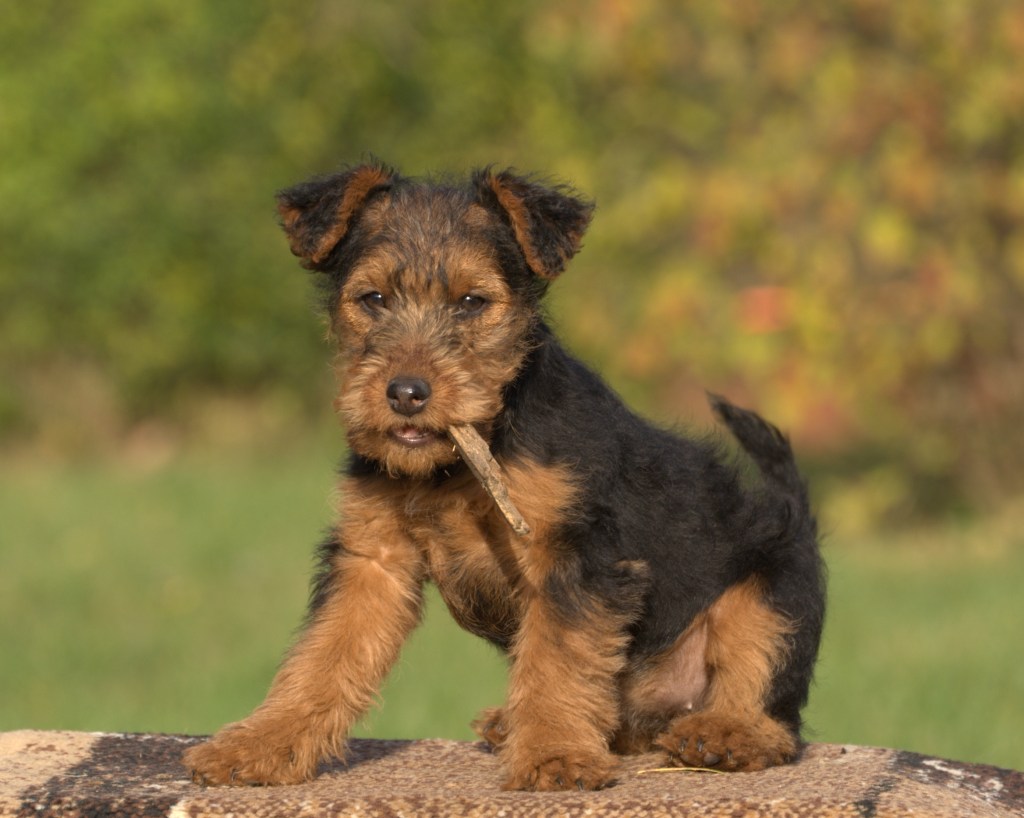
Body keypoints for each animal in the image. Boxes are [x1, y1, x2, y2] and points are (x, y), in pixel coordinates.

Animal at [182, 159, 823, 794]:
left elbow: (557, 661)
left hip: (771, 598)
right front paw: (259, 743)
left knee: (771, 708)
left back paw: (725, 734)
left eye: (471, 301)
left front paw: (555, 755)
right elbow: (321, 655)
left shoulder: (572, 558)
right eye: (373, 297)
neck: (457, 462)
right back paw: (515, 723)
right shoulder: (372, 558)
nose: (406, 394)